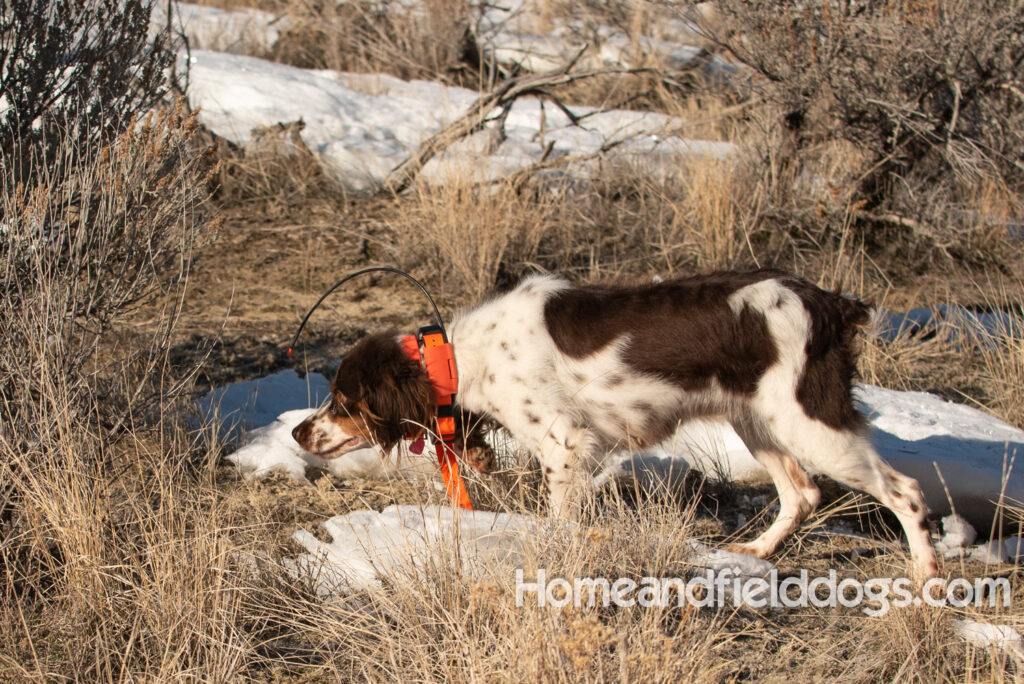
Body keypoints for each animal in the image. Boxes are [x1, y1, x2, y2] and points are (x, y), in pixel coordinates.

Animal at [292, 270, 937, 577]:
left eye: (342, 399)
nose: (298, 433)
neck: (467, 356)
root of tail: (831, 303)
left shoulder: (564, 444)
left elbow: (560, 523)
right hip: (759, 421)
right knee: (802, 493)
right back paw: (755, 551)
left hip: (810, 421)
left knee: (904, 491)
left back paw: (926, 580)